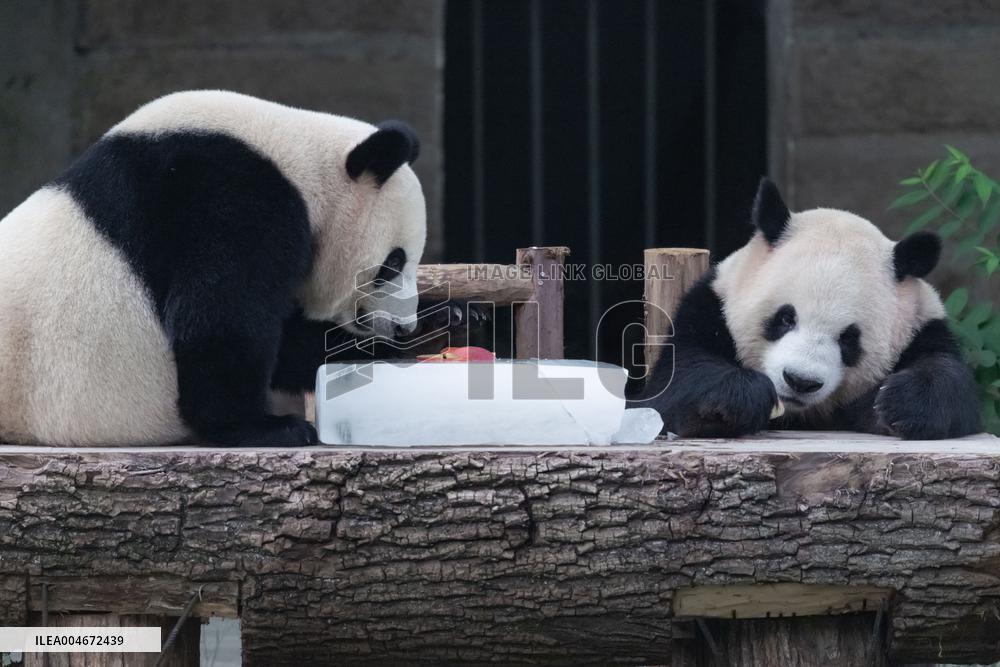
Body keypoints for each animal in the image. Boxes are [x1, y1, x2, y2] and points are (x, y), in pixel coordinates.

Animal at [0, 90, 476, 447]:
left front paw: (448, 321)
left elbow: (288, 342)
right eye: (392, 263)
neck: (298, 158)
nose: (402, 326)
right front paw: (263, 427)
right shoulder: (229, 197)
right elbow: (223, 316)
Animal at [636, 177, 981, 440]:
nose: (800, 381)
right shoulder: (711, 307)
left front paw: (901, 404)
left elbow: (948, 380)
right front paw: (739, 398)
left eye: (849, 338)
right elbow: (672, 385)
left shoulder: (921, 328)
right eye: (786, 318)